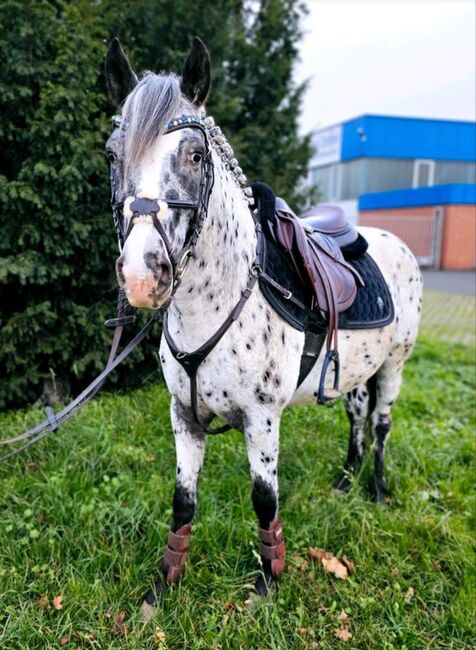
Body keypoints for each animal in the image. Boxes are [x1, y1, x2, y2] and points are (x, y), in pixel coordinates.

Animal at [103, 39, 420, 608]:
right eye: (112, 155)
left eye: (196, 154)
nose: (143, 274)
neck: (219, 300)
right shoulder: (183, 416)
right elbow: (183, 501)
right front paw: (163, 586)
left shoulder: (262, 419)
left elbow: (264, 500)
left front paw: (267, 582)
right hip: (355, 372)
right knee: (357, 419)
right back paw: (346, 483)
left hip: (395, 366)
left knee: (382, 424)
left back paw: (380, 491)